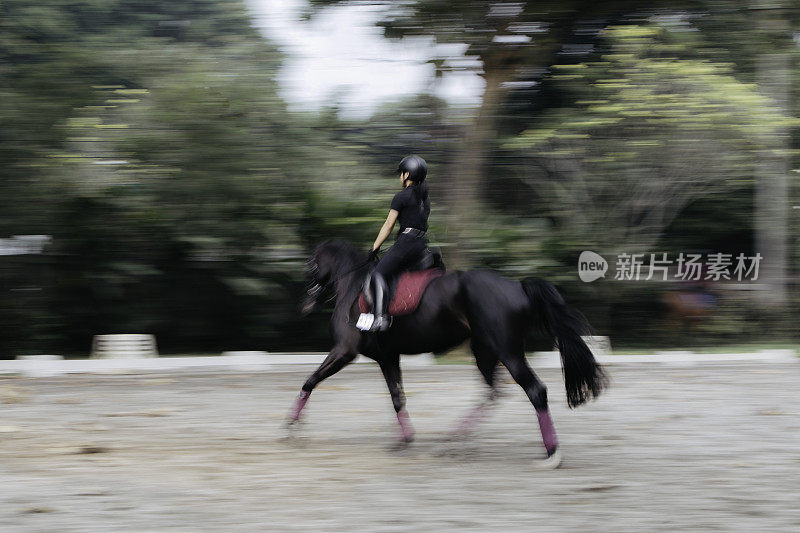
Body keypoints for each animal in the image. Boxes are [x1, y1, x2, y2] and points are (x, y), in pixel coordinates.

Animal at [288, 239, 608, 468]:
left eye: (311, 265)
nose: (306, 302)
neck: (353, 284)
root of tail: (517, 286)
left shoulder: (345, 351)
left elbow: (310, 381)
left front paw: (291, 427)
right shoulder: (388, 357)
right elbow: (397, 398)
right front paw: (405, 440)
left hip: (508, 352)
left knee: (534, 391)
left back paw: (551, 454)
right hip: (485, 351)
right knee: (493, 392)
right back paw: (454, 441)